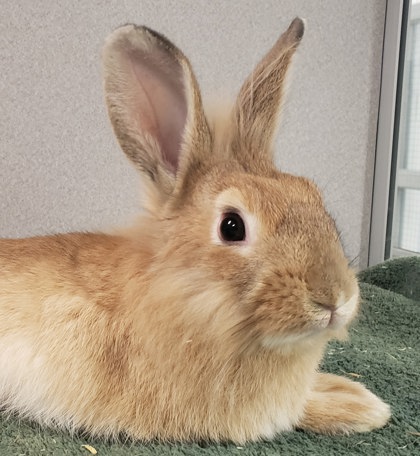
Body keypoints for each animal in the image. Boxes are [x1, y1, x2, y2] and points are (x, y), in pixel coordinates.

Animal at [0, 17, 391, 443]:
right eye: (232, 226)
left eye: (312, 194)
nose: (334, 298)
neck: (182, 296)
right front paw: (361, 407)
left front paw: (359, 400)